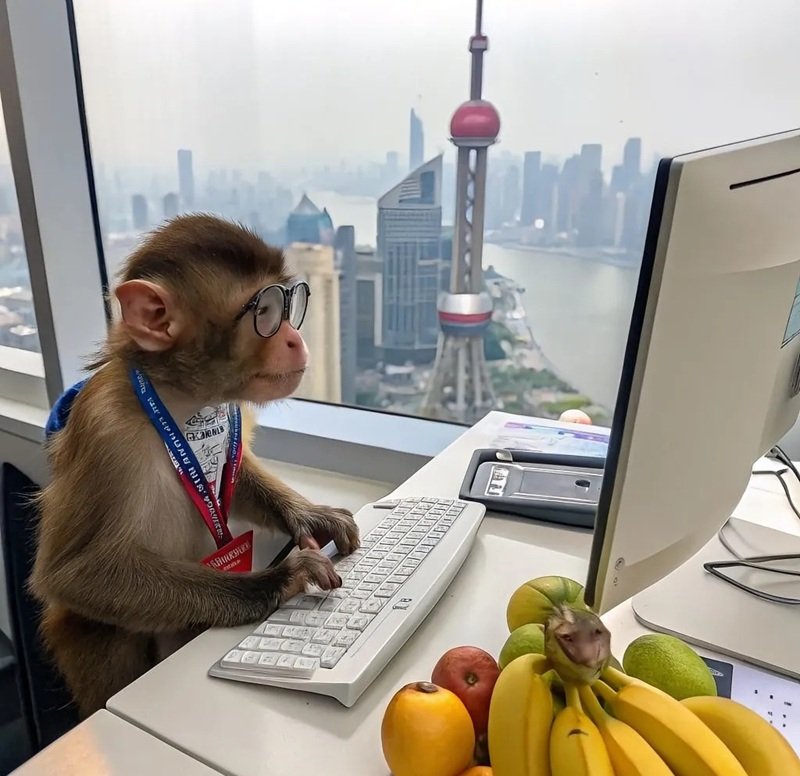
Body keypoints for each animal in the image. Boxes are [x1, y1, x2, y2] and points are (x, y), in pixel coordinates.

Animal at [28, 213, 361, 718]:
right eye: (266, 312)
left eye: (294, 303)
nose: (295, 338)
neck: (181, 404)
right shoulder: (106, 433)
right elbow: (77, 574)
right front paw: (282, 577)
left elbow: (238, 478)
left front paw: (313, 517)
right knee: (101, 628)